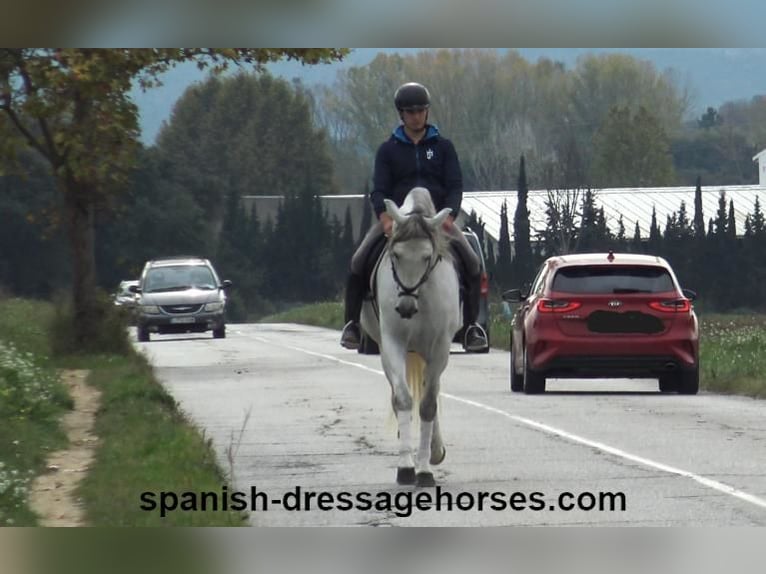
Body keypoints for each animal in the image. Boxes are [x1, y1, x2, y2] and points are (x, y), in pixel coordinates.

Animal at [362, 187, 462, 488]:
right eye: (395, 255)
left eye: (428, 257)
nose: (405, 308)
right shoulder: (392, 343)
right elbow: (404, 400)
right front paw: (406, 467)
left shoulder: (439, 347)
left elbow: (428, 404)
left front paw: (426, 470)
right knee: (398, 394)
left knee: (432, 390)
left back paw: (435, 451)